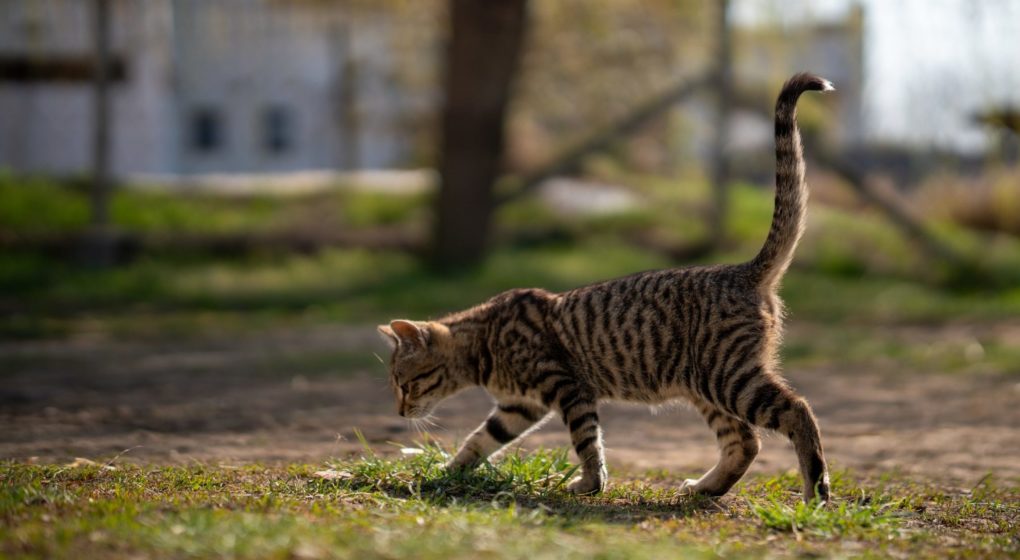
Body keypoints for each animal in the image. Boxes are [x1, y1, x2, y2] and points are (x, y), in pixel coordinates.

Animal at [379, 71, 832, 503]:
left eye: (405, 382)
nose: (399, 412)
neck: (484, 342)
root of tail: (744, 269)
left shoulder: (567, 388)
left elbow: (587, 443)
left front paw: (590, 485)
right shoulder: (517, 407)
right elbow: (479, 440)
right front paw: (446, 472)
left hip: (729, 378)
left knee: (798, 411)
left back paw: (815, 490)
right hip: (708, 387)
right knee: (745, 443)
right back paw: (705, 488)